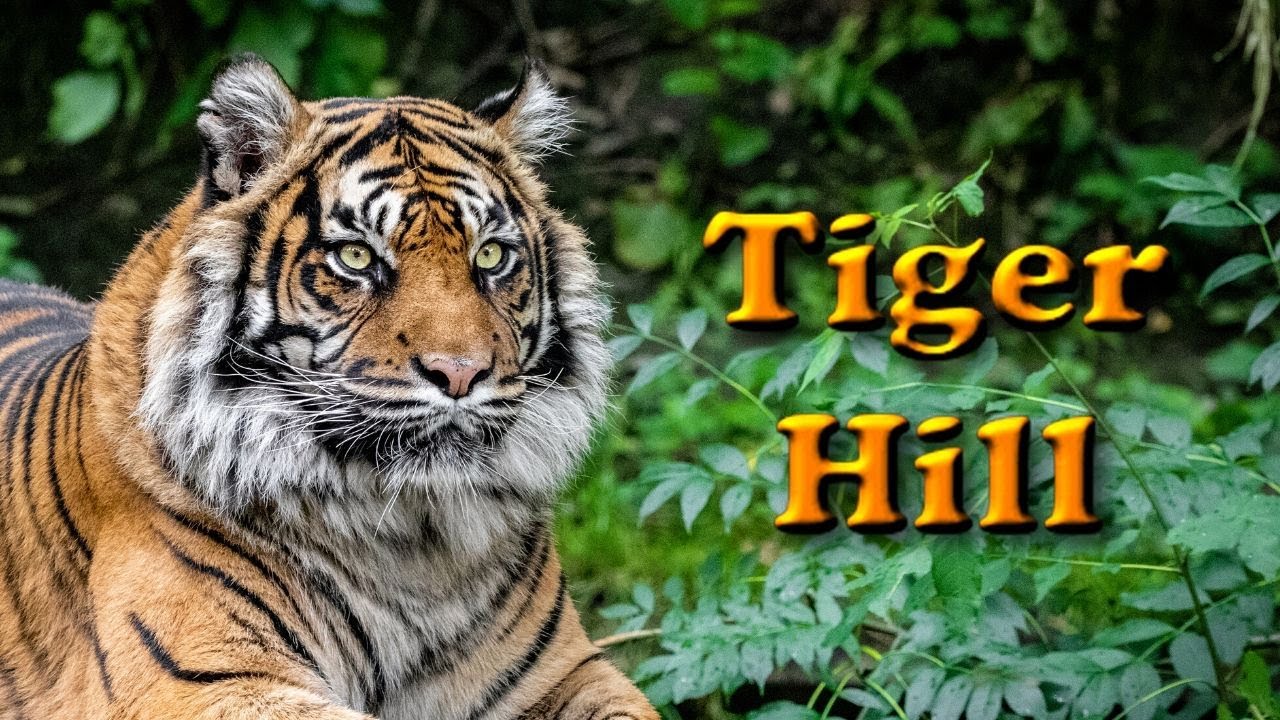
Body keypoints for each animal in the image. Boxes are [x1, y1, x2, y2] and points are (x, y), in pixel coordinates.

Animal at [0, 53, 658, 720]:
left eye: (492, 256)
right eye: (356, 258)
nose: (460, 372)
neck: (414, 546)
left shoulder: (567, 671)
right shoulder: (204, 681)